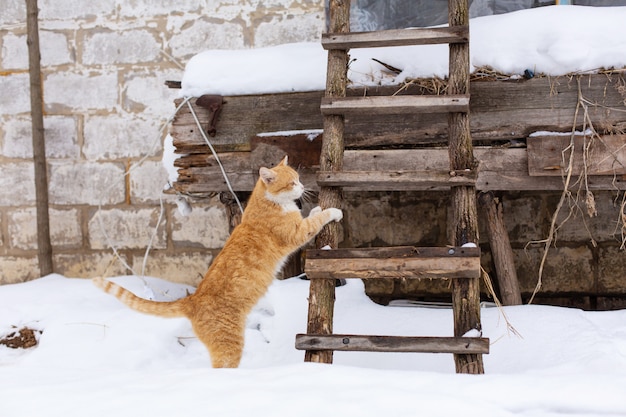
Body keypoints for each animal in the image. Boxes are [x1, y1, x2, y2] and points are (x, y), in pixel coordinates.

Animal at [94, 156, 342, 368]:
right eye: (292, 183)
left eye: (298, 178)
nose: (302, 187)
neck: (268, 202)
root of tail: (192, 299)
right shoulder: (296, 232)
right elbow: (316, 220)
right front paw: (333, 211)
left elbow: (314, 215)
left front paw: (318, 207)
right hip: (229, 344)